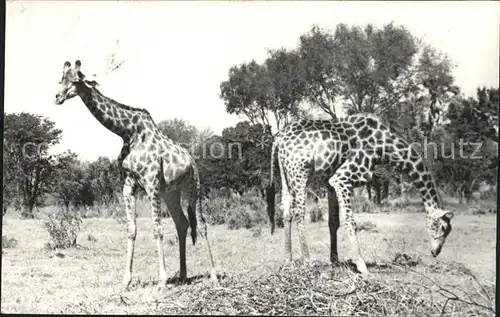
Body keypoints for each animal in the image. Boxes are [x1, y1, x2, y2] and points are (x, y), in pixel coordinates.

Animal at [54, 59, 217, 288]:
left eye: (76, 80)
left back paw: (213, 275)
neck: (128, 133)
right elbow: (131, 230)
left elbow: (157, 229)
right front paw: (126, 281)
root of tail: (192, 161)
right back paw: (183, 275)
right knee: (182, 223)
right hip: (171, 192)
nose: (57, 97)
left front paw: (162, 280)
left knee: (201, 224)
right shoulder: (128, 185)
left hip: (193, 187)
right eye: (61, 78)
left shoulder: (151, 184)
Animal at [270, 112, 454, 272]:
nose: (435, 252)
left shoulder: (329, 182)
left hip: (286, 172)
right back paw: (308, 261)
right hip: (300, 170)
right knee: (299, 211)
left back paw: (288, 260)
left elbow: (333, 221)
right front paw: (361, 265)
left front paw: (335, 261)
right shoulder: (342, 178)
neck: (384, 147)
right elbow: (350, 221)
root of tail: (278, 139)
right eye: (443, 228)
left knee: (286, 211)